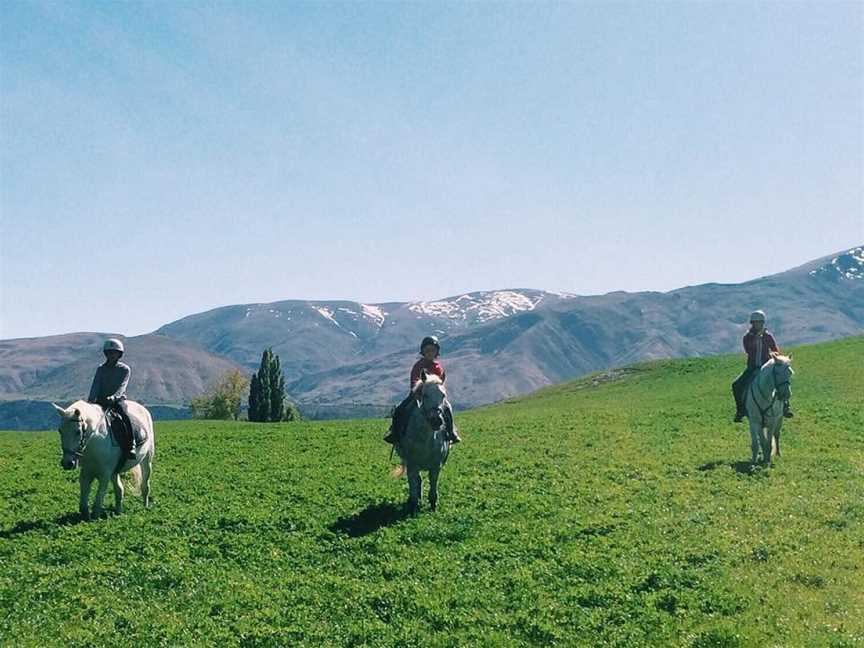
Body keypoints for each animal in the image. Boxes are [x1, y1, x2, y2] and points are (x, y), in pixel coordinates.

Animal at [394, 372, 452, 512]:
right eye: (425, 395)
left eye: (443, 395)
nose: (436, 420)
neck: (426, 438)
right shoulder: (412, 464)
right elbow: (413, 484)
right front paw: (414, 506)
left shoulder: (436, 466)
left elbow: (433, 485)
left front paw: (433, 504)